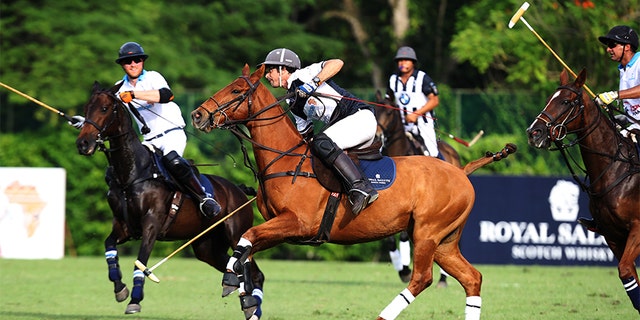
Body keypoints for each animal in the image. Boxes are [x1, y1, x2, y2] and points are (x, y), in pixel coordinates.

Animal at [75, 82, 264, 318]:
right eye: (86, 108)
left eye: (105, 108)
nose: (83, 143)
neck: (132, 173)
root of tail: (237, 189)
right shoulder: (123, 225)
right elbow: (109, 246)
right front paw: (120, 288)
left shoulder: (152, 224)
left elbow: (140, 262)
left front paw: (135, 300)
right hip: (206, 247)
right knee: (239, 268)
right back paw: (247, 302)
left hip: (236, 232)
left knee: (251, 269)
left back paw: (250, 304)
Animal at [190, 63, 516, 318]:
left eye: (236, 91)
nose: (198, 115)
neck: (285, 160)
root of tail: (460, 171)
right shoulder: (283, 229)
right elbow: (245, 248)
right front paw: (244, 294)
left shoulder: (297, 223)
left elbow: (245, 240)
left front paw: (231, 280)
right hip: (445, 241)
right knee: (472, 278)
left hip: (428, 232)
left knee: (422, 278)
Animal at [528, 69, 636, 314]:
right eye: (549, 98)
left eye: (566, 101)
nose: (534, 132)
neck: (615, 168)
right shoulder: (612, 235)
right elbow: (630, 274)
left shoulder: (637, 228)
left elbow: (626, 270)